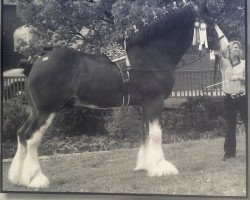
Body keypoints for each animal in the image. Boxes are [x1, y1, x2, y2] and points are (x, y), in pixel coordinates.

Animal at [7, 2, 220, 188]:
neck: (151, 55)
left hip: (35, 111)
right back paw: (36, 179)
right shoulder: (155, 102)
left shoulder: (144, 105)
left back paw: (18, 178)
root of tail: (36, 62)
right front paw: (162, 168)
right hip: (46, 111)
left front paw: (146, 166)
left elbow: (145, 132)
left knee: (21, 134)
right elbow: (156, 133)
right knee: (31, 138)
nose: (223, 45)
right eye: (210, 23)